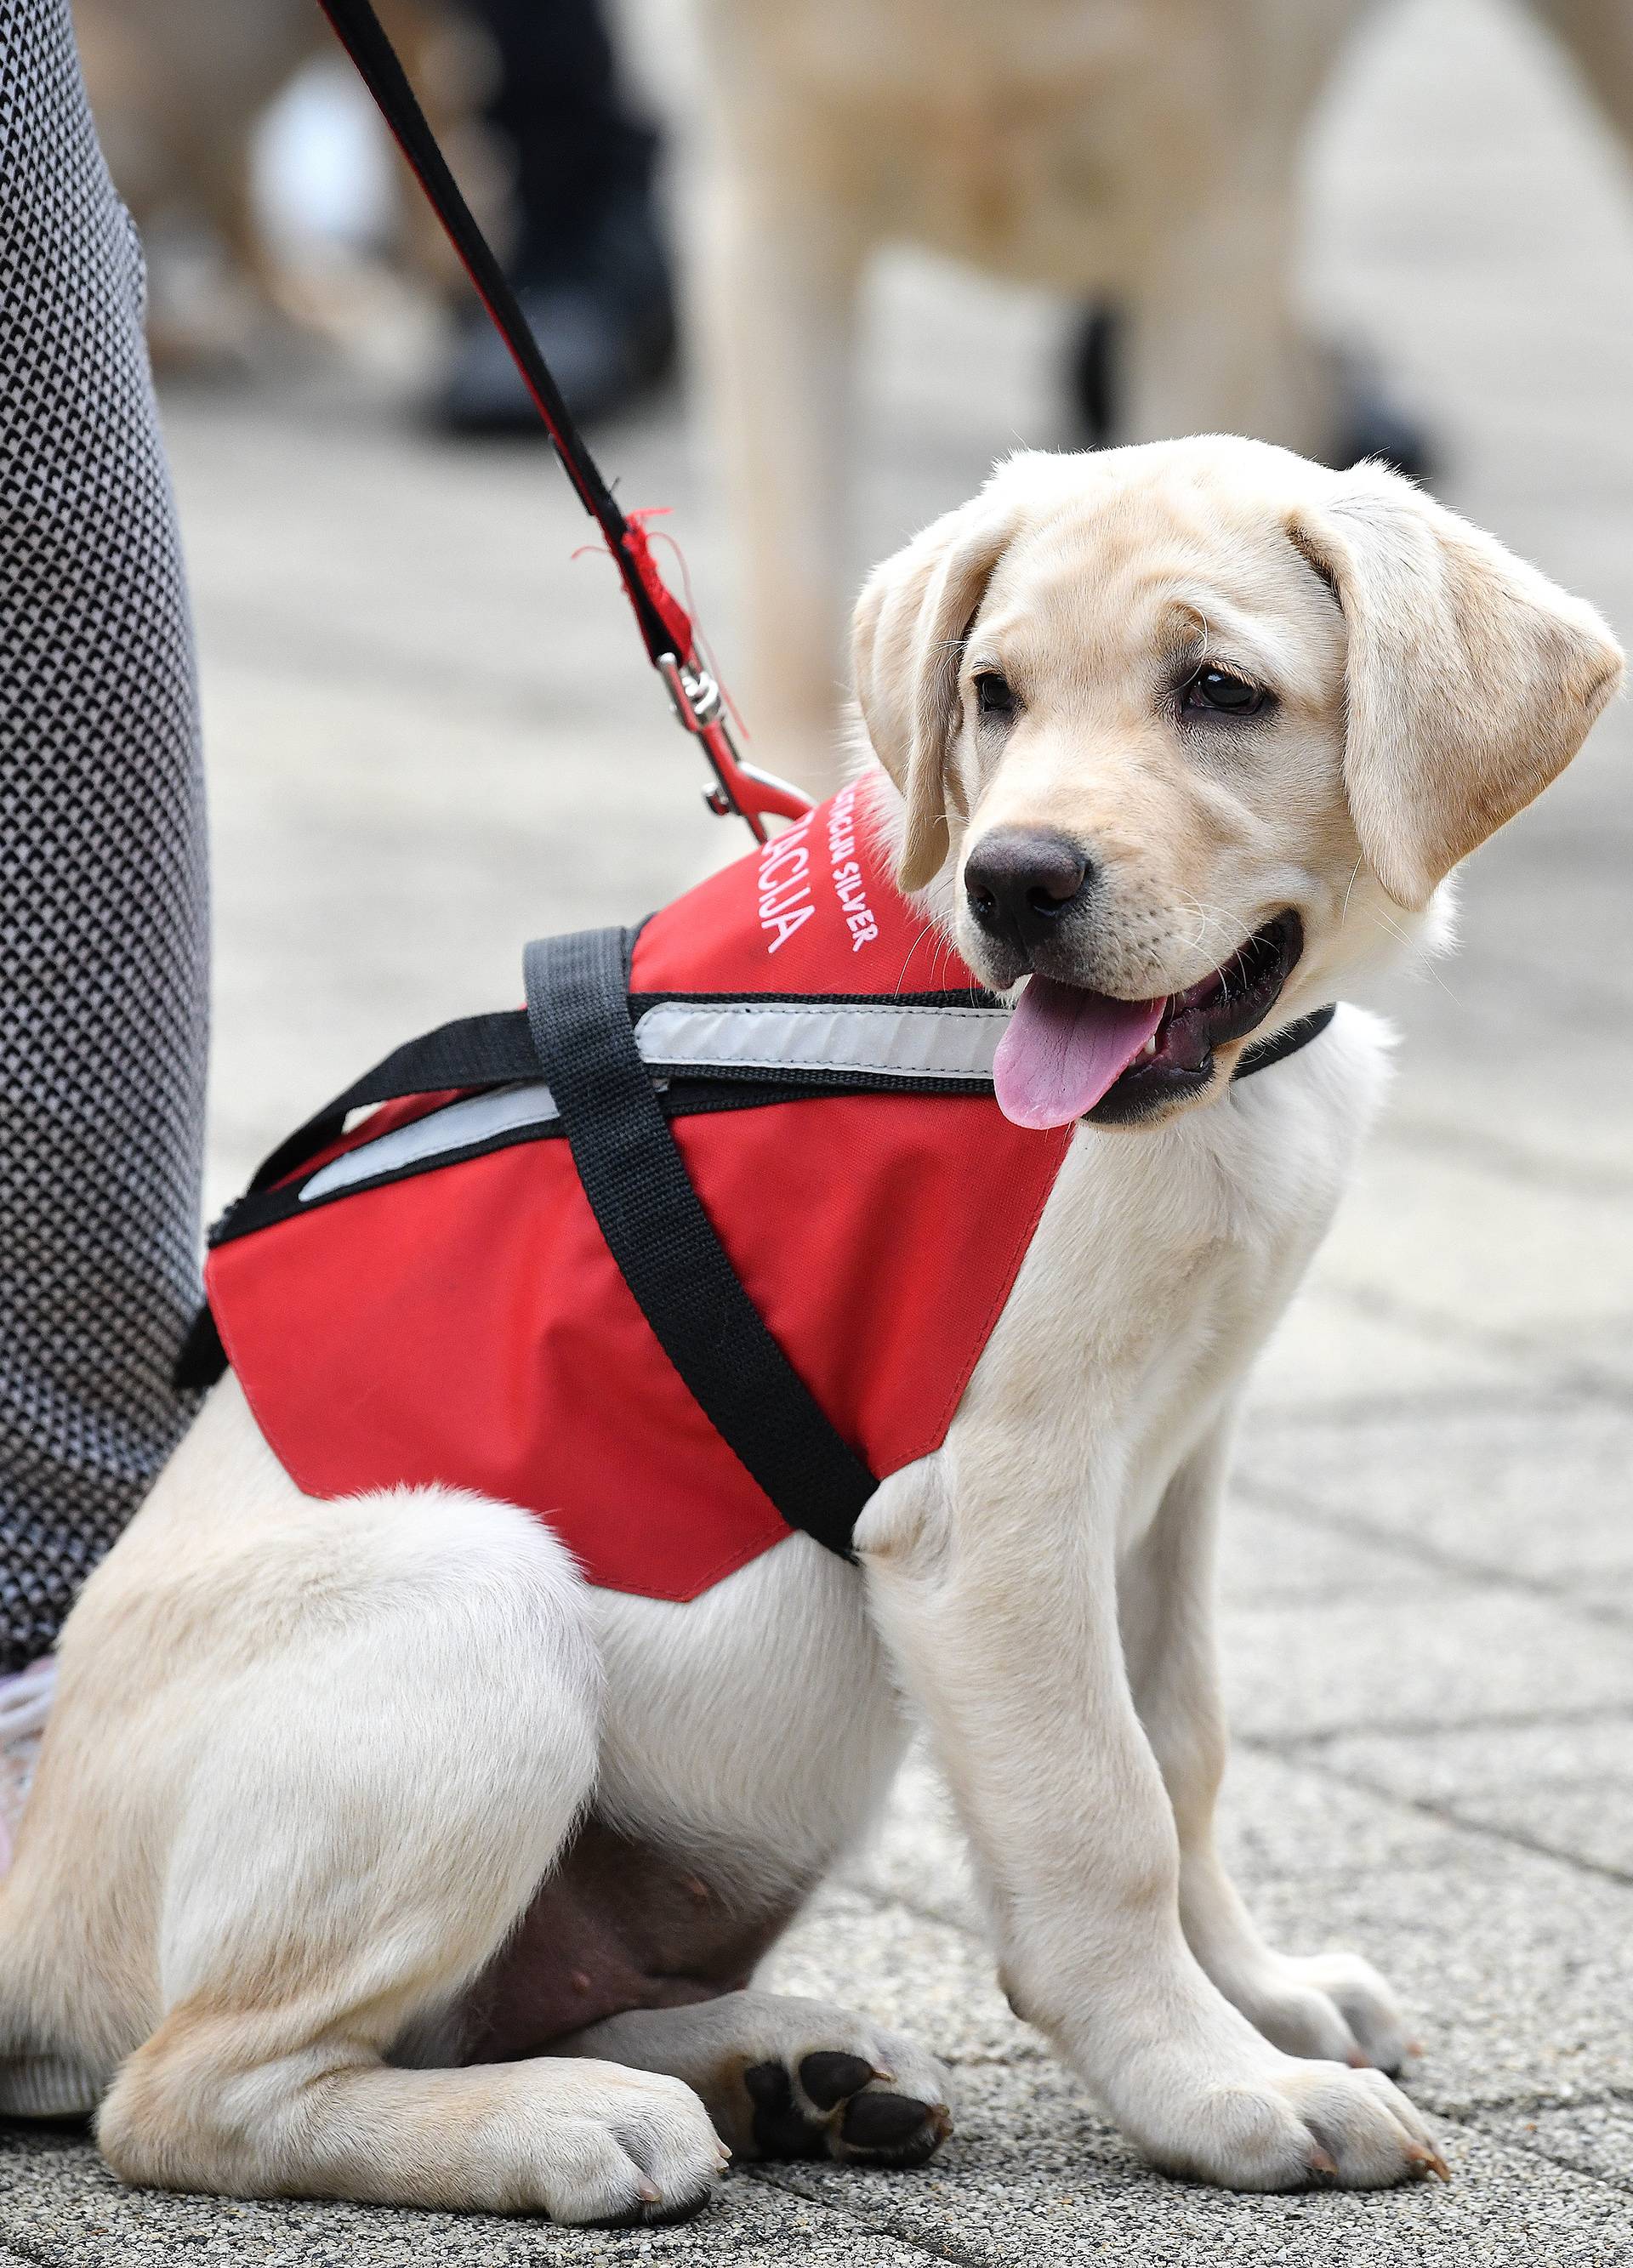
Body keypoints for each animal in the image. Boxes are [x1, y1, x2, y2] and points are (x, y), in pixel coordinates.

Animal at [0, 437, 1614, 2213]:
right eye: (992, 693)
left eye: (1221, 692)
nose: (1012, 880)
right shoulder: (995, 1500)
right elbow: (1104, 1808)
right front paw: (1224, 2087)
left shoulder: (1178, 1457)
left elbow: (1183, 1742)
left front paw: (1262, 2000)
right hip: (477, 1590)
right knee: (187, 2093)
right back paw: (575, 2122)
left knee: (485, 2004)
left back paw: (783, 2072)